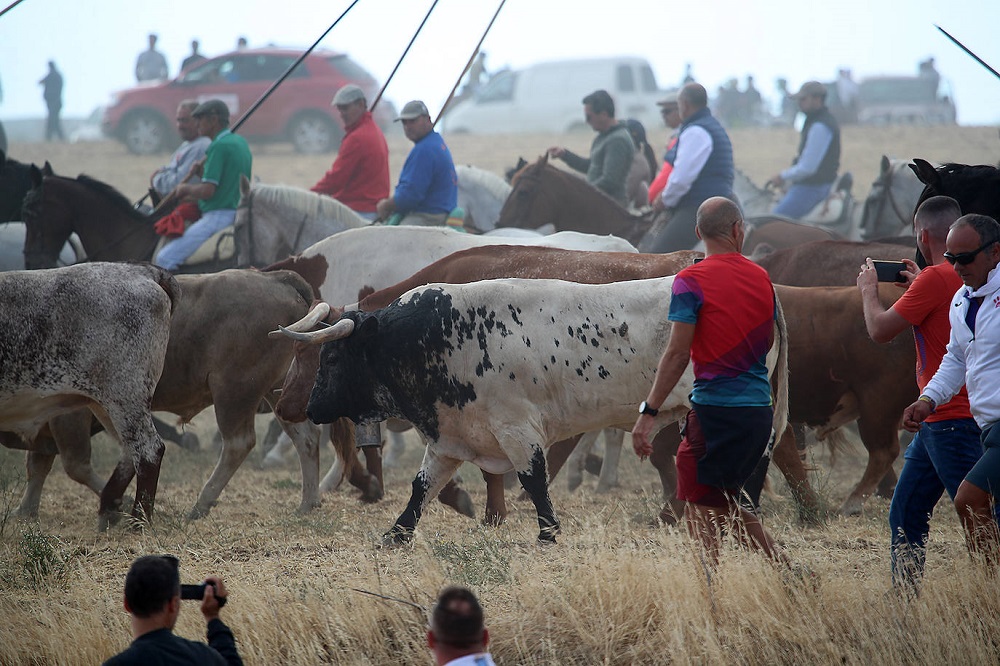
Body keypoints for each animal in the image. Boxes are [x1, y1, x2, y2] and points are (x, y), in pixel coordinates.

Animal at [0, 262, 176, 528]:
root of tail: (141, 270)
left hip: (126, 397)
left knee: (148, 451)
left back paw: (139, 520)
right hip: (105, 404)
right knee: (129, 451)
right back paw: (110, 507)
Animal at [280, 276, 788, 544]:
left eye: (331, 358)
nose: (312, 407)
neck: (438, 336)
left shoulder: (518, 432)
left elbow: (535, 483)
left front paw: (548, 535)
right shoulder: (449, 438)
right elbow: (421, 489)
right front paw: (395, 536)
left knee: (753, 461)